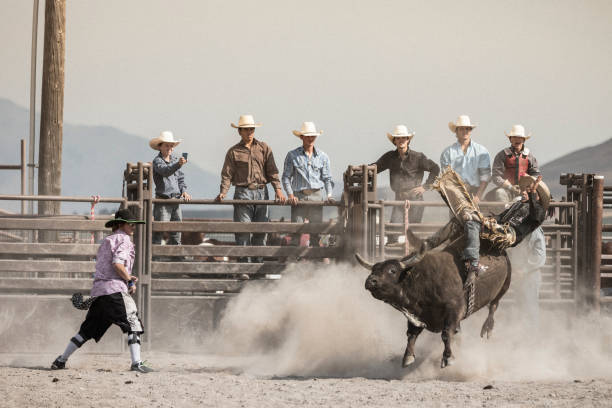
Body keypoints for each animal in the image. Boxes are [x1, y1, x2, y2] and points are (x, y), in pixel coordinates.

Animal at [356, 233, 512, 370]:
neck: (421, 281)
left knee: (494, 306)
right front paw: (408, 357)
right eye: (374, 270)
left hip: (504, 286)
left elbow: (446, 333)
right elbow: (411, 334)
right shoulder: (417, 314)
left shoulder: (454, 309)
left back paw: (488, 326)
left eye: (392, 270)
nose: (370, 280)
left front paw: (448, 357)